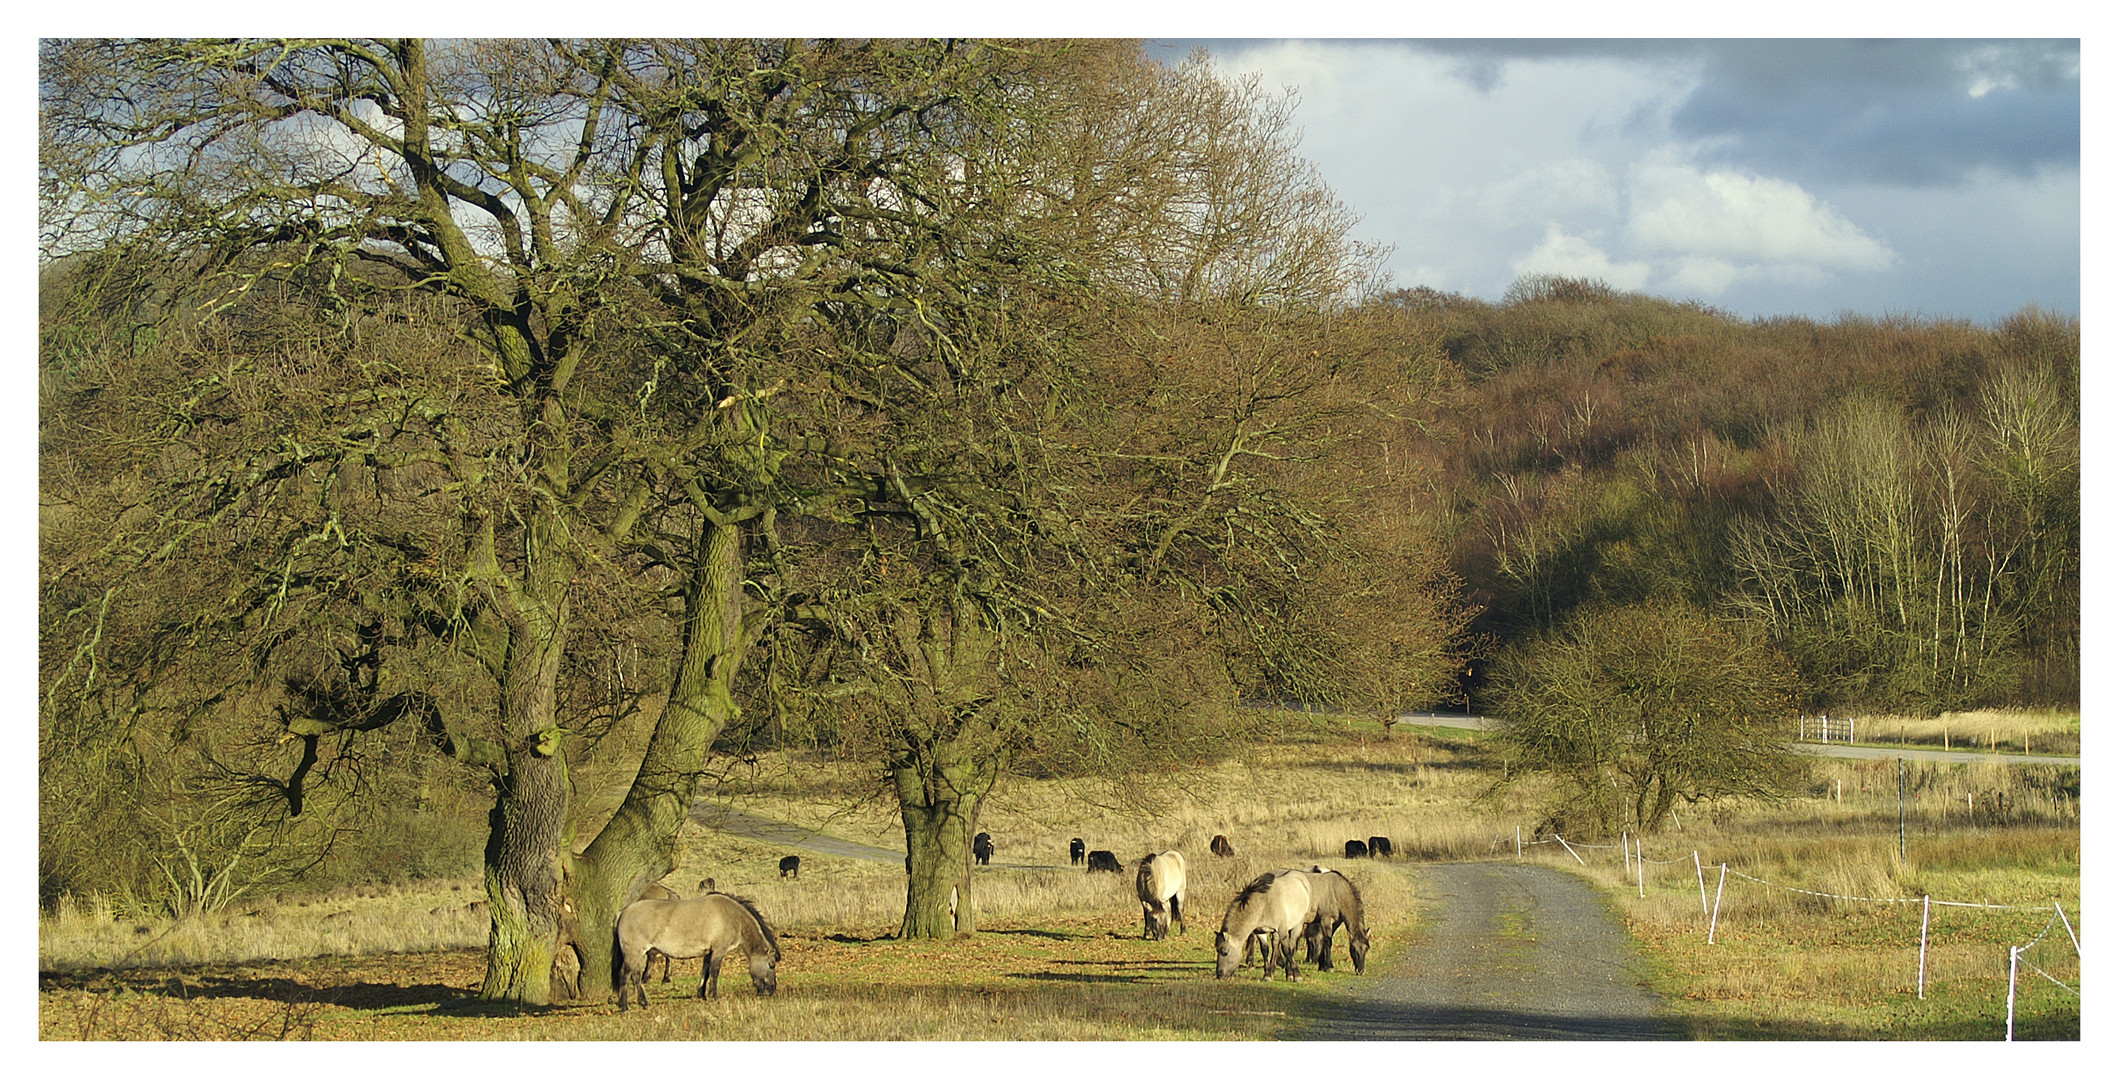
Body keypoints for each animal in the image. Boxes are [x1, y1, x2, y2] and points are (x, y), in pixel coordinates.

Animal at [614, 889, 779, 1008]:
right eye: (771, 965)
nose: (772, 990)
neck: (732, 916)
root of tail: (622, 912)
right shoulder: (719, 950)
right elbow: (714, 971)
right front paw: (714, 995)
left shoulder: (709, 952)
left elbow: (705, 971)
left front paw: (702, 993)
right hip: (634, 953)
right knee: (624, 974)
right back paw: (623, 1005)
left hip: (641, 954)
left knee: (636, 976)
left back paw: (644, 1002)